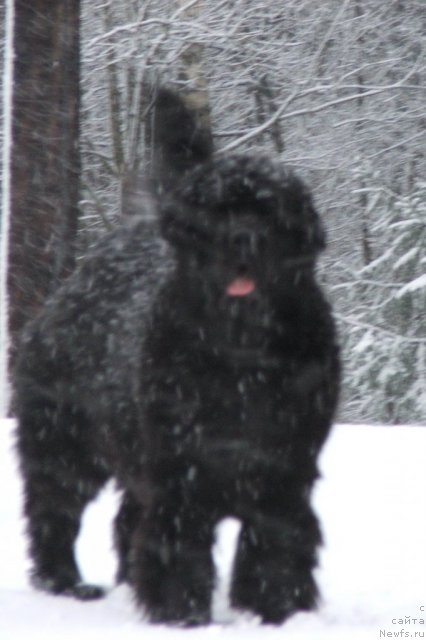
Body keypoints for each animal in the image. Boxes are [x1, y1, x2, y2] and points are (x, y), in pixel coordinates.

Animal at [13, 89, 340, 624]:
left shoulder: (284, 465)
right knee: (53, 510)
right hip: (62, 437)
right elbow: (177, 541)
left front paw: (274, 611)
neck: (240, 350)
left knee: (125, 520)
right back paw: (65, 582)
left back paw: (126, 585)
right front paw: (181, 612)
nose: (244, 238)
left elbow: (277, 541)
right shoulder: (180, 465)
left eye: (268, 211)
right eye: (218, 212)